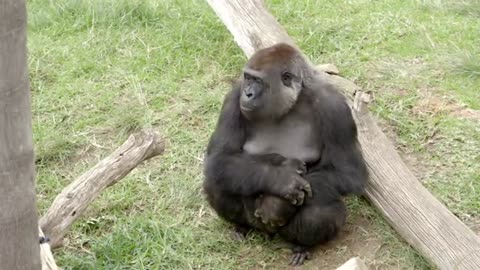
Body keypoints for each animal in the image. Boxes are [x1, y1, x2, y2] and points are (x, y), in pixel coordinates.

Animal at [202, 43, 368, 264]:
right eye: (247, 77)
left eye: (258, 81)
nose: (247, 94)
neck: (293, 102)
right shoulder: (233, 98)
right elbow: (220, 158)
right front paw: (282, 180)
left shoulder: (335, 108)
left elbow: (348, 172)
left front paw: (276, 204)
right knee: (219, 183)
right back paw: (241, 227)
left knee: (321, 209)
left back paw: (302, 246)